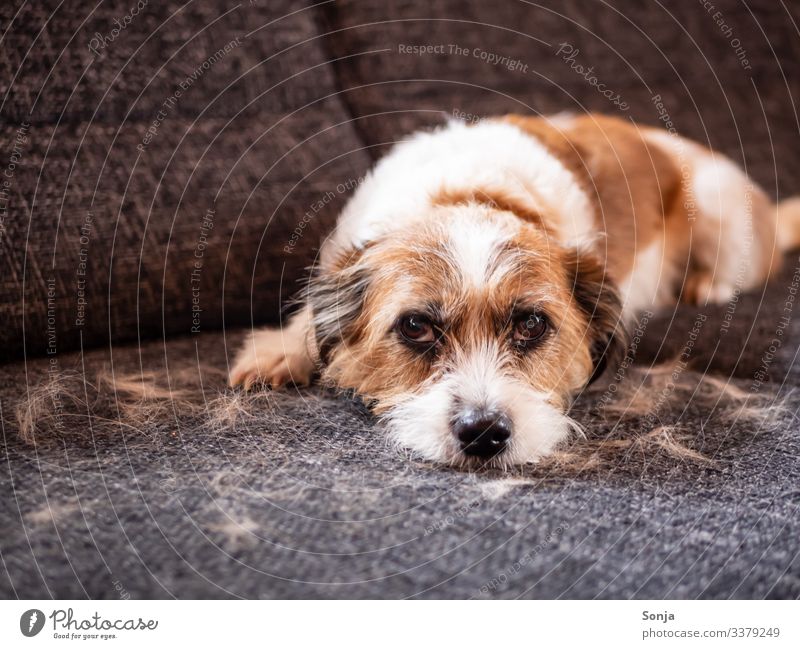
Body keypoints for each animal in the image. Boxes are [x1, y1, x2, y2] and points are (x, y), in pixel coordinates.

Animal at [228, 111, 800, 466]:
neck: (469, 193)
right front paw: (284, 347)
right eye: (415, 327)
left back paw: (706, 286)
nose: (484, 433)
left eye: (531, 323)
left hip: (719, 206)